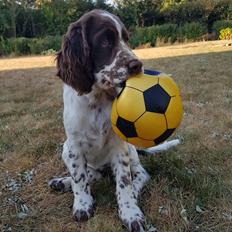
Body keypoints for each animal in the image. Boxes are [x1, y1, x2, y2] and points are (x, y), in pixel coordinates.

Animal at [49, 9, 179, 232]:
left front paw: (130, 213)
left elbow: (124, 182)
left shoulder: (120, 145)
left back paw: (134, 192)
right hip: (65, 149)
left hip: (131, 152)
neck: (98, 98)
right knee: (92, 175)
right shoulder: (74, 144)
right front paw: (82, 205)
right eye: (105, 41)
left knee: (140, 175)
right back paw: (62, 182)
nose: (137, 65)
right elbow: (79, 178)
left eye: (126, 39)